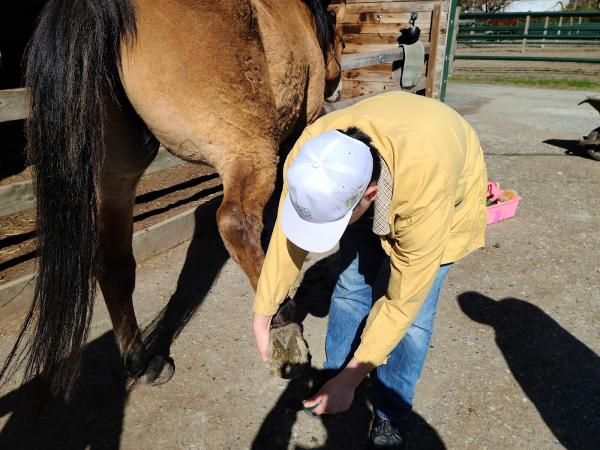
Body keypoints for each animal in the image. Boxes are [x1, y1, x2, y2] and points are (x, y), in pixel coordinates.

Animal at [0, 0, 342, 400]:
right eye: (336, 26)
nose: (336, 80)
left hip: (116, 176)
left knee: (114, 264)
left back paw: (141, 361)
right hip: (247, 148)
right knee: (235, 224)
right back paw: (282, 324)